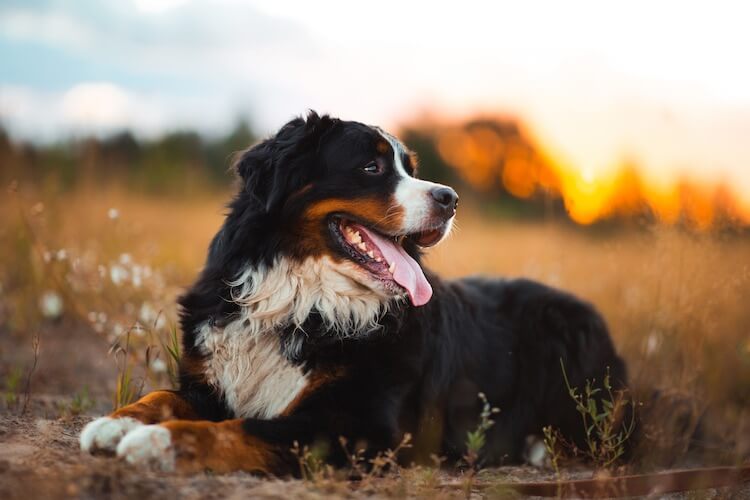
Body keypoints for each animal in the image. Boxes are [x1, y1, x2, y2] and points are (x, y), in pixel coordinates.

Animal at [79, 111, 632, 474]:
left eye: (410, 168)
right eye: (372, 167)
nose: (450, 199)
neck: (301, 301)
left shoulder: (357, 424)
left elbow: (238, 429)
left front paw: (158, 443)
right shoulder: (211, 382)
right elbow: (162, 396)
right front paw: (114, 424)